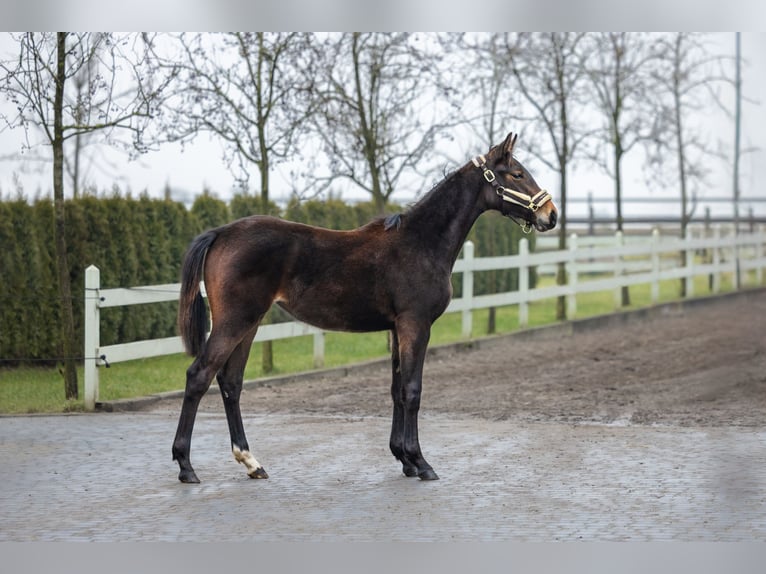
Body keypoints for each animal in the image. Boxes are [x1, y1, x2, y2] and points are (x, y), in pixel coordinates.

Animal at [172, 132, 558, 483]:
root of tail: (221, 233)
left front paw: (404, 459)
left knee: (231, 382)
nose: (551, 215)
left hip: (250, 323)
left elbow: (397, 390)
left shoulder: (396, 328)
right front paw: (422, 463)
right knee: (199, 376)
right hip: (235, 321)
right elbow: (413, 391)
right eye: (517, 174)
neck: (420, 242)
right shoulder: (416, 325)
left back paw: (251, 462)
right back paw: (186, 466)